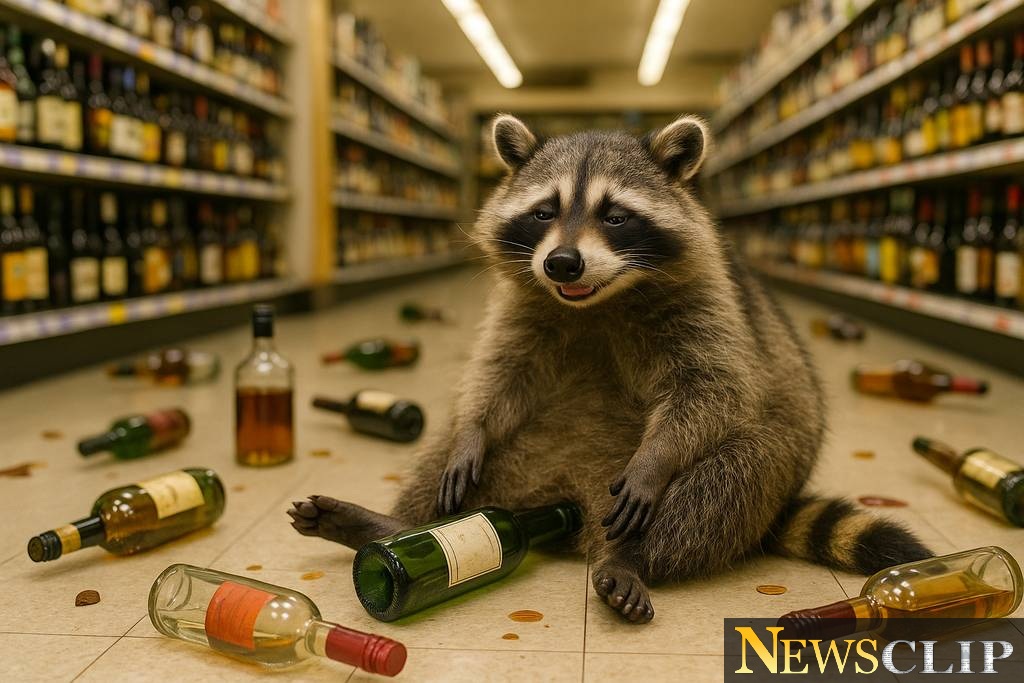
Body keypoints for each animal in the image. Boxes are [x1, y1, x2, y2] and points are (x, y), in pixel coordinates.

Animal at [289, 114, 931, 624]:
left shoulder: (710, 301)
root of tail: (568, 495)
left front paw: (656, 459)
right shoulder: (522, 307)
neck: (597, 300)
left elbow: (712, 388)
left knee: (736, 469)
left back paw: (631, 557)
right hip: (517, 457)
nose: (561, 262)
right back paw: (390, 524)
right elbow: (497, 375)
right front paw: (472, 429)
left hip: (744, 468)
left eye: (616, 215)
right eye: (543, 212)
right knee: (441, 454)